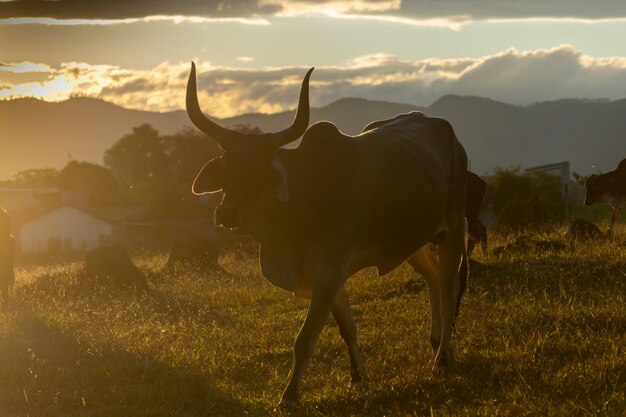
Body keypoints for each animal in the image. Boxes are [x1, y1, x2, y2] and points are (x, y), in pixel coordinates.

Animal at [188, 63, 466, 408]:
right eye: (226, 167)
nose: (226, 214)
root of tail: (448, 133)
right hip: (414, 241)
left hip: (454, 228)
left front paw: (289, 396)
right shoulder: (326, 276)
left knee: (449, 289)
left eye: (260, 171)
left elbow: (305, 339)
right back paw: (438, 344)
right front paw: (358, 377)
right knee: (434, 279)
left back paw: (441, 361)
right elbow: (348, 327)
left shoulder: (330, 273)